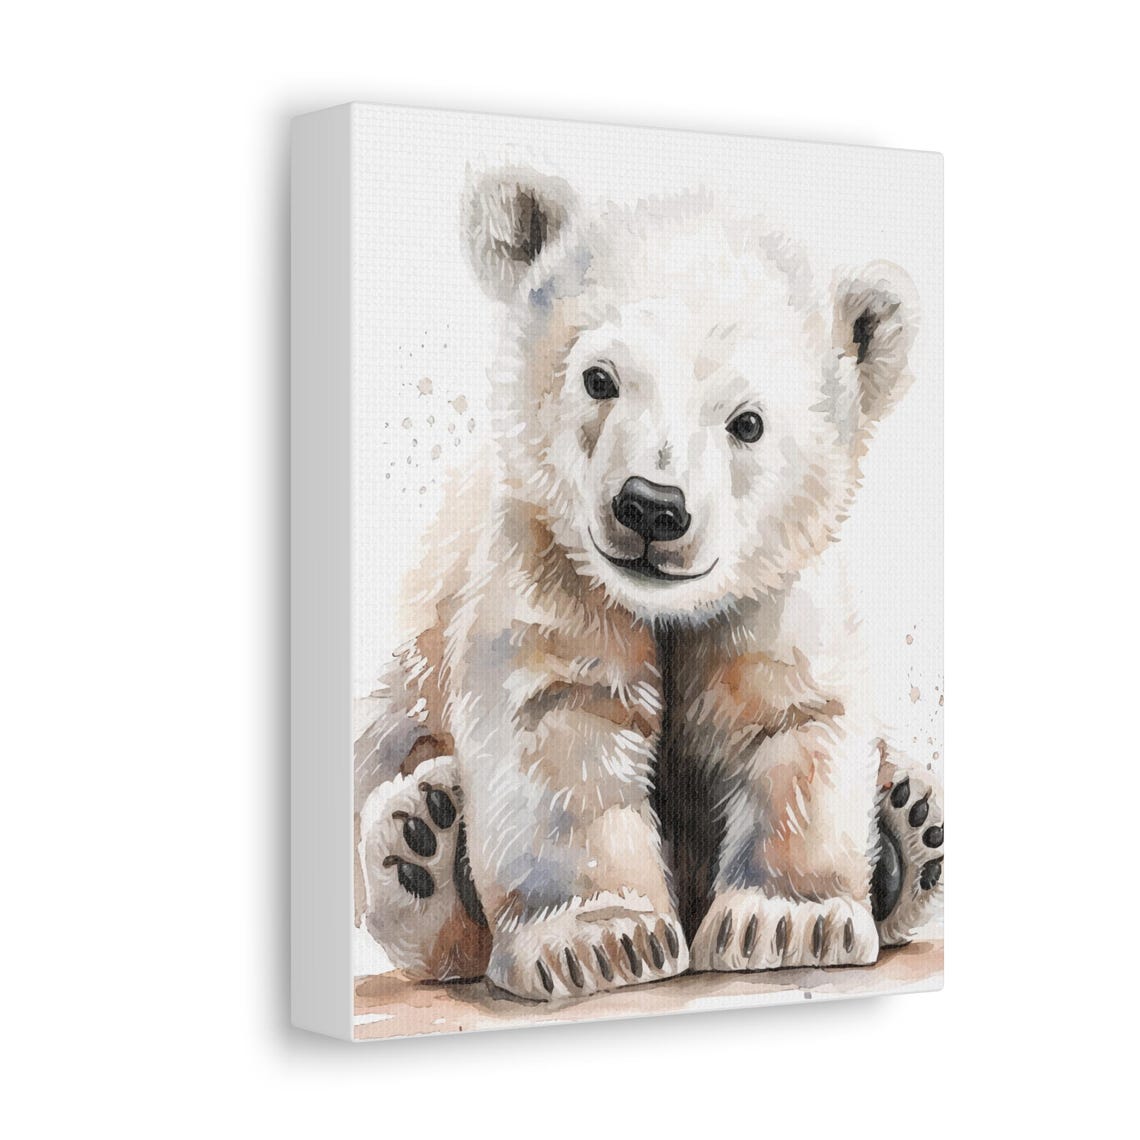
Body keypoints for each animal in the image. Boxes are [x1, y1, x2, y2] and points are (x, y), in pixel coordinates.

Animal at [354, 166, 943, 1001]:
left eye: (748, 422)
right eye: (600, 378)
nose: (652, 507)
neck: (661, 607)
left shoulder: (773, 593)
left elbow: (794, 721)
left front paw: (789, 921)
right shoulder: (544, 569)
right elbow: (561, 727)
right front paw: (606, 940)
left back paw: (911, 829)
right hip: (395, 710)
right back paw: (422, 843)